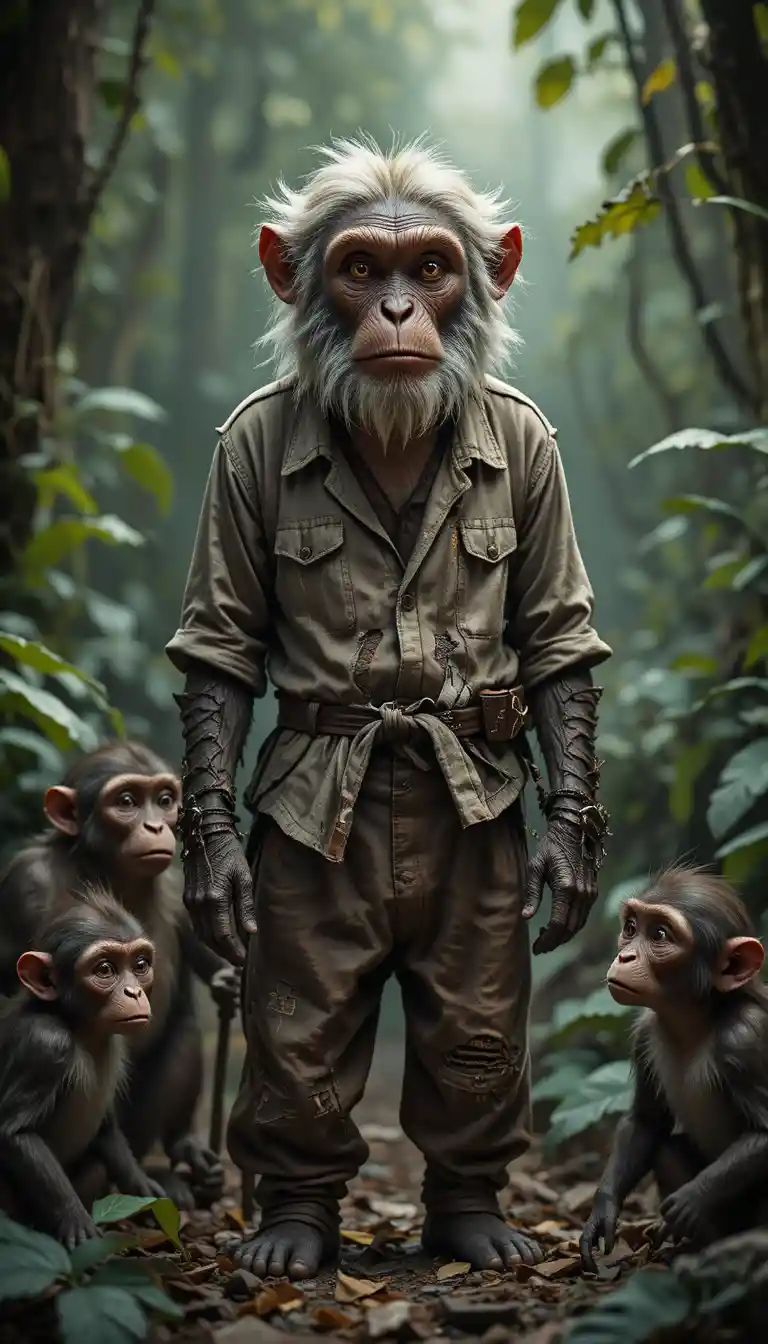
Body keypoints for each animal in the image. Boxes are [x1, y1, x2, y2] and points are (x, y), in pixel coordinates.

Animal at [0, 741, 239, 1209]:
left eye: (164, 800)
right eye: (126, 801)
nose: (155, 824)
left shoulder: (179, 887)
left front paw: (230, 979)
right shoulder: (24, 884)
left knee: (184, 1029)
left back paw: (183, 1155)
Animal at [0, 886, 165, 1248]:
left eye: (140, 965)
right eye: (104, 970)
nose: (133, 992)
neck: (78, 1027)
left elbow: (107, 1128)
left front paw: (143, 1190)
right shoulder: (45, 1046)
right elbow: (16, 1134)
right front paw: (75, 1220)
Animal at [580, 865, 768, 1271]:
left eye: (660, 935)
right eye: (631, 927)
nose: (625, 956)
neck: (696, 1019)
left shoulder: (746, 1039)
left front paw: (692, 1197)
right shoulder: (643, 1035)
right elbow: (645, 1122)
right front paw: (602, 1211)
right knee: (665, 1152)